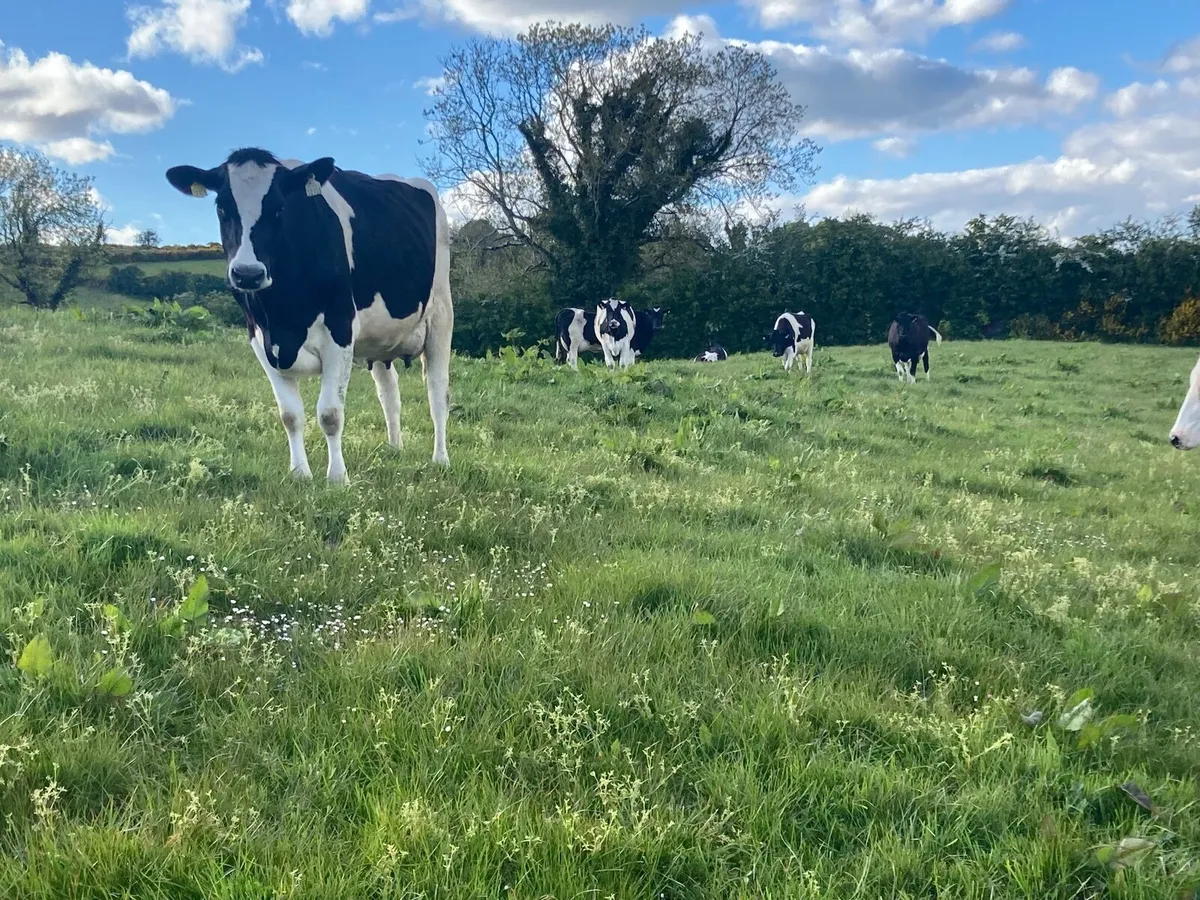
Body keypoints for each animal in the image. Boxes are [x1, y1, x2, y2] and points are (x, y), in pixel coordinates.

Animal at [164, 147, 452, 485]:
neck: (282, 316)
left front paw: (337, 478)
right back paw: (394, 449)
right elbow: (289, 415)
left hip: (441, 313)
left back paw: (440, 459)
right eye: (222, 207)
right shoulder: (259, 339)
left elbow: (330, 414)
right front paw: (300, 473)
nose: (247, 273)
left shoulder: (340, 330)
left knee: (437, 392)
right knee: (389, 391)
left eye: (279, 208)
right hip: (382, 338)